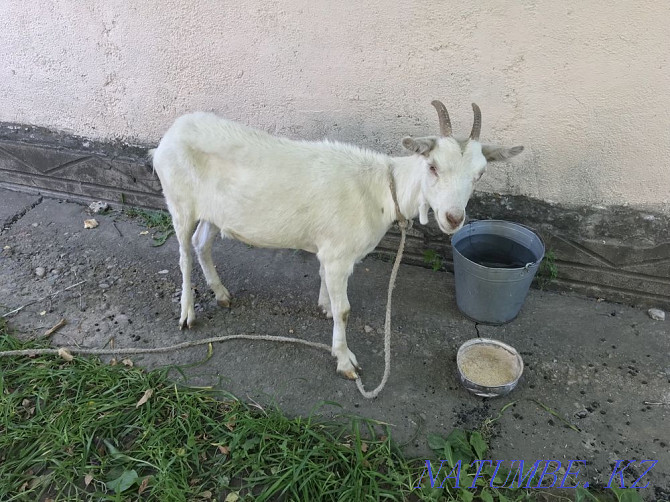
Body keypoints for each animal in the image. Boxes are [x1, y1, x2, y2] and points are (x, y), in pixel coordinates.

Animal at [151, 101, 524, 376]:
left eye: (480, 174)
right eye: (432, 166)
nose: (453, 218)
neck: (382, 187)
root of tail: (169, 135)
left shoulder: (331, 252)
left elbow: (326, 284)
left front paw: (324, 306)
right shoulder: (338, 255)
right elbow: (346, 310)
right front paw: (345, 360)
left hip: (214, 212)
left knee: (202, 244)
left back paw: (221, 293)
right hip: (180, 203)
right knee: (184, 254)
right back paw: (187, 314)